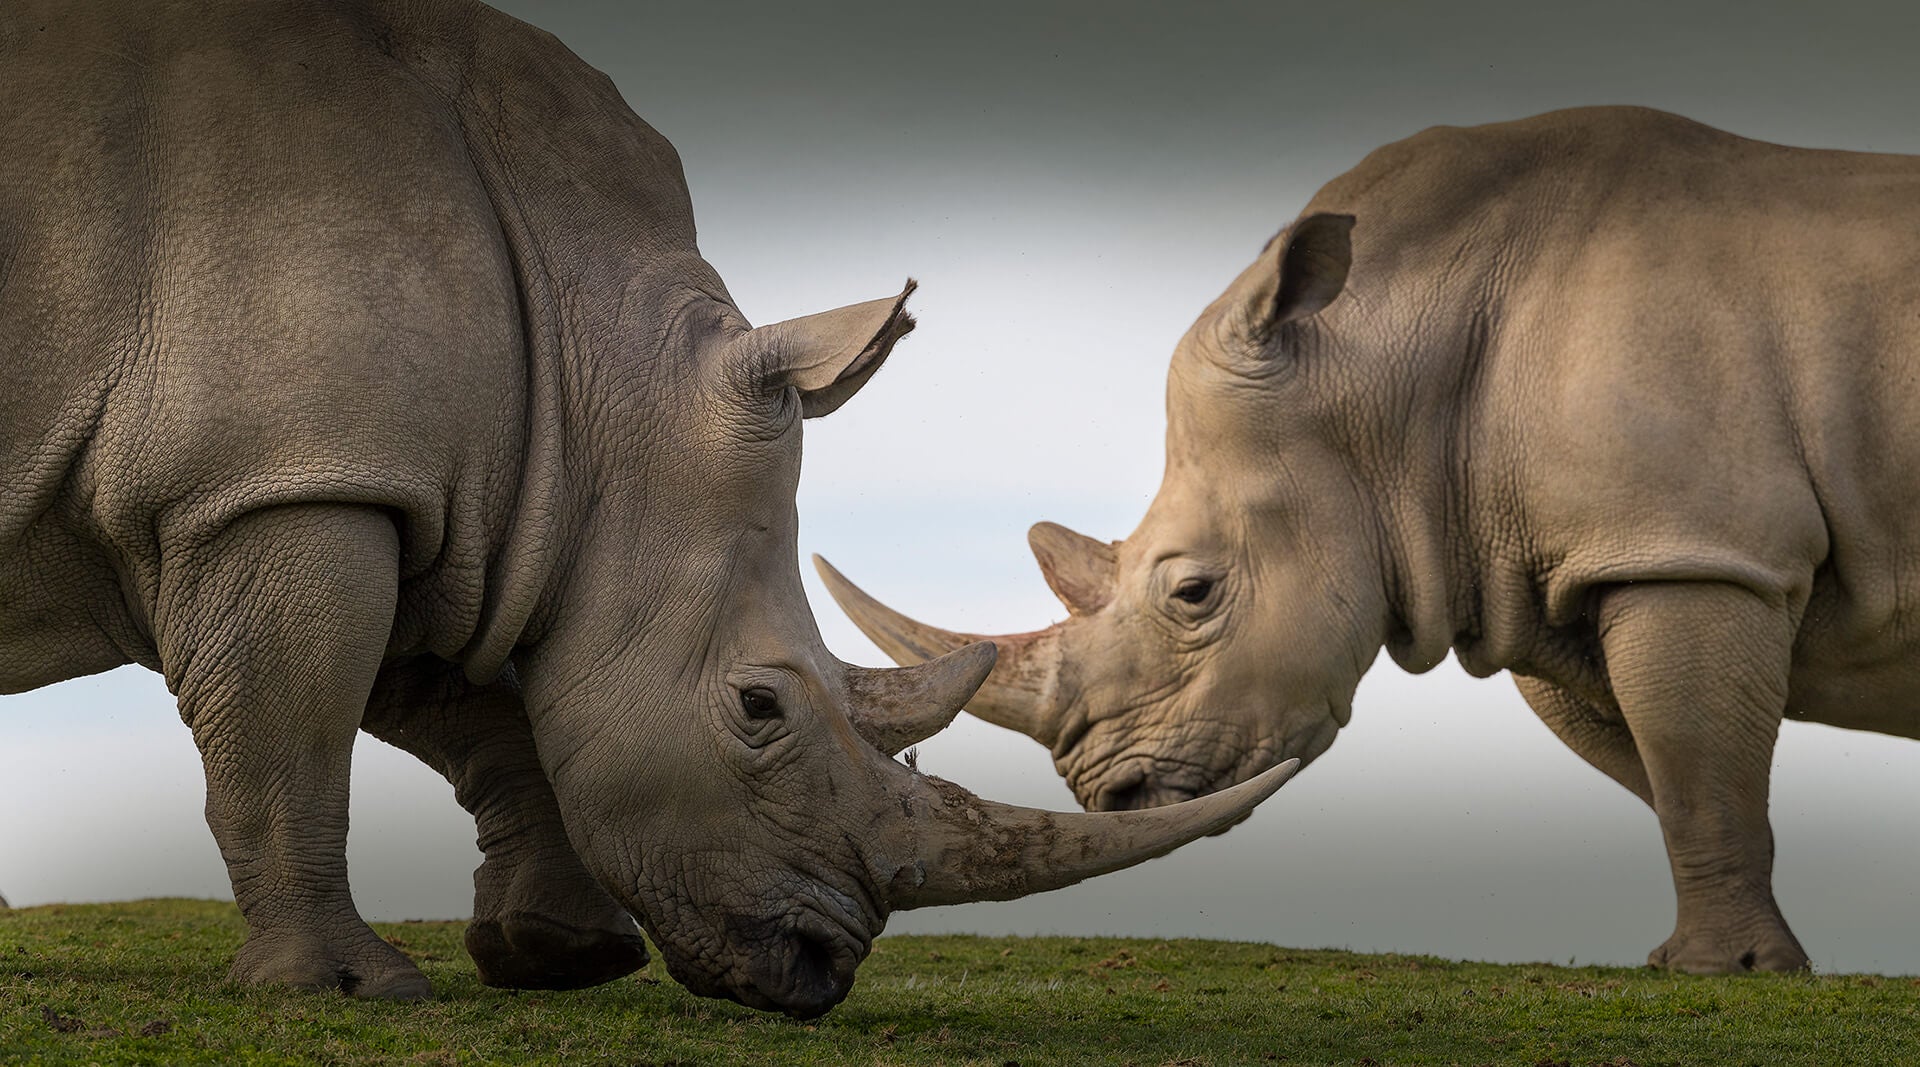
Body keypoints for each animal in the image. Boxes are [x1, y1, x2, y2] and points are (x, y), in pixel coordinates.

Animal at [0, 0, 1299, 1017]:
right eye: (760, 706)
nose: (819, 968)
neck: (595, 367)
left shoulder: (447, 509)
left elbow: (481, 706)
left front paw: (562, 954)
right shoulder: (281, 483)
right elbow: (291, 732)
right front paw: (347, 987)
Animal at [822, 106, 1920, 975]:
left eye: (1193, 592)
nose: (1113, 794)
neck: (1389, 369)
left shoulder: (1689, 549)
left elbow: (1694, 767)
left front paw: (1721, 972)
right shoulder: (1576, 566)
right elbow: (1674, 773)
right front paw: (1735, 957)